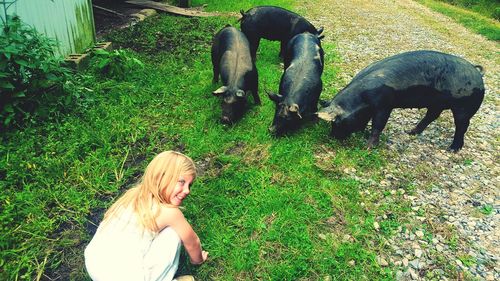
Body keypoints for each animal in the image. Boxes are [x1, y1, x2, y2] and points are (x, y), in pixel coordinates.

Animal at [318, 50, 486, 151]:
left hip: (464, 107)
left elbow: (378, 124)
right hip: (437, 103)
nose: (332, 137)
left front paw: (368, 147)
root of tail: (478, 73)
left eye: (336, 122)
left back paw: (452, 149)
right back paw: (411, 132)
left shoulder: (385, 105)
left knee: (462, 126)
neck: (361, 99)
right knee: (431, 116)